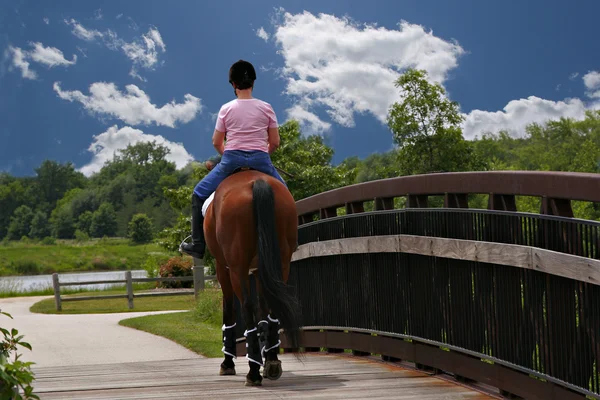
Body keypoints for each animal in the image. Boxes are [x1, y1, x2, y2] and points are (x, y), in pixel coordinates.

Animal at [204, 168, 302, 384]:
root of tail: (257, 182)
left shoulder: (222, 268)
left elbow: (229, 310)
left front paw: (228, 363)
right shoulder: (259, 270)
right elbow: (263, 310)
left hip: (237, 267)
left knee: (246, 306)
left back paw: (253, 372)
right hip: (281, 263)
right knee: (272, 305)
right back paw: (271, 363)